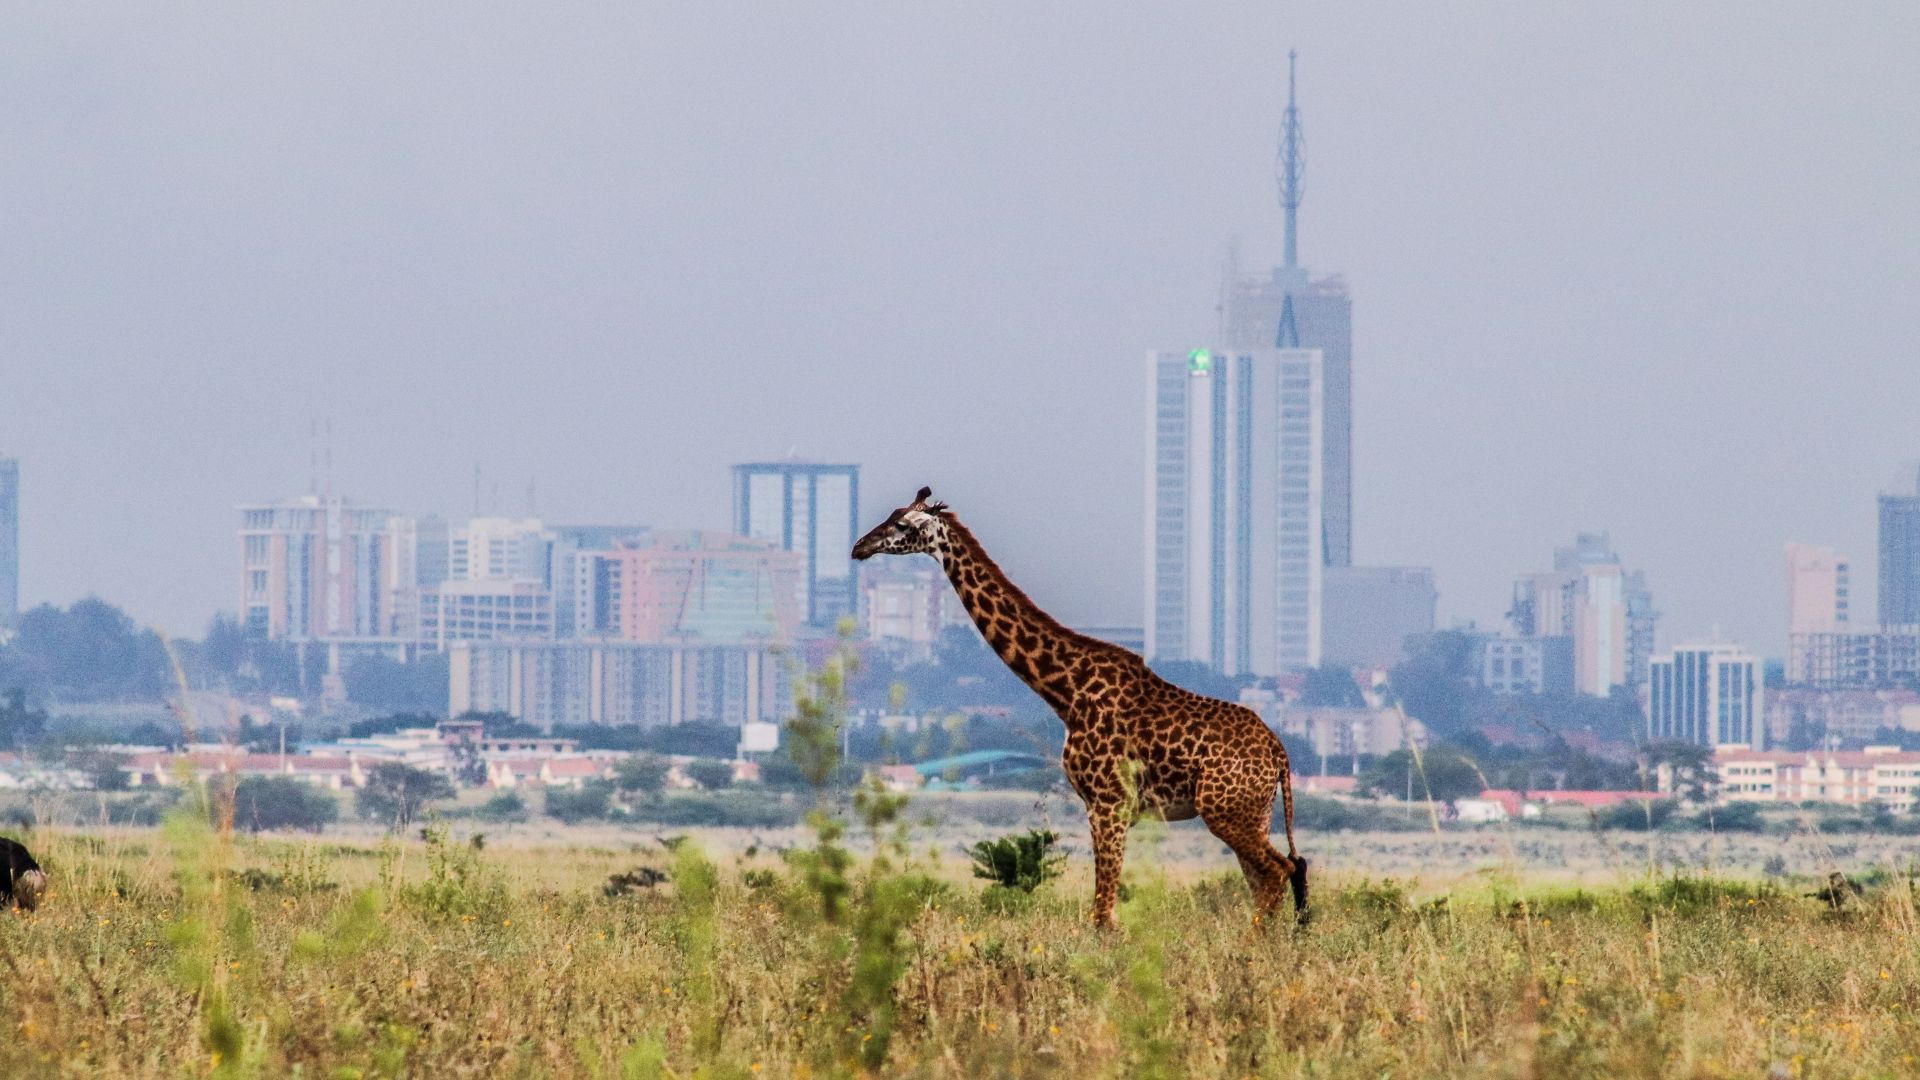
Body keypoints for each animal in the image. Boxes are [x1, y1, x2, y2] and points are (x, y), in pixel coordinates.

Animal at [853, 487, 1308, 929]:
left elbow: (1103, 914)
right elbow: (1105, 910)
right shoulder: (1101, 805)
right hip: (1251, 812)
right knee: (1272, 876)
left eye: (902, 524)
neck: (1065, 692)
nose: (860, 547)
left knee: (1280, 871)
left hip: (1225, 811)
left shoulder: (1109, 803)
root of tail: (1278, 753)